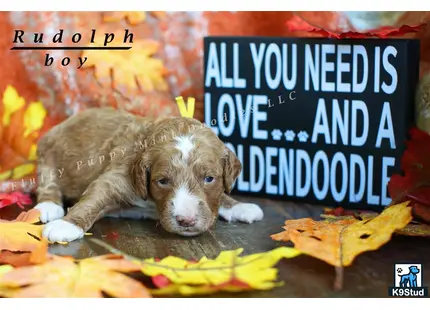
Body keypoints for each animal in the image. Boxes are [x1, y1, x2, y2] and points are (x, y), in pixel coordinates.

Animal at [34, 107, 262, 242]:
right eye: (162, 181)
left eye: (209, 179)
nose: (186, 220)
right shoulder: (115, 178)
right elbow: (92, 200)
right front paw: (66, 225)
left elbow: (222, 195)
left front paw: (239, 206)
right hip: (47, 156)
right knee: (47, 182)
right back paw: (48, 206)